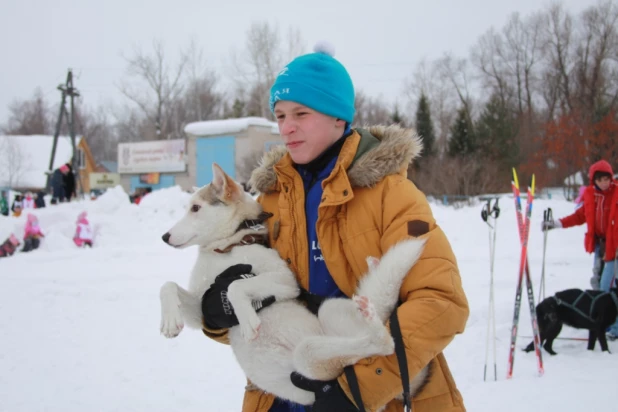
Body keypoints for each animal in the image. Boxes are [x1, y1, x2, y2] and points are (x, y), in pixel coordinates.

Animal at [159, 163, 428, 404]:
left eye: (195, 208)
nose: (164, 236)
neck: (227, 247)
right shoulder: (203, 306)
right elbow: (168, 286)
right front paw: (170, 322)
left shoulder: (284, 281)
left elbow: (235, 287)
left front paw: (247, 320)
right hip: (328, 318)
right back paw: (371, 289)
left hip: (310, 355)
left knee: (384, 341)